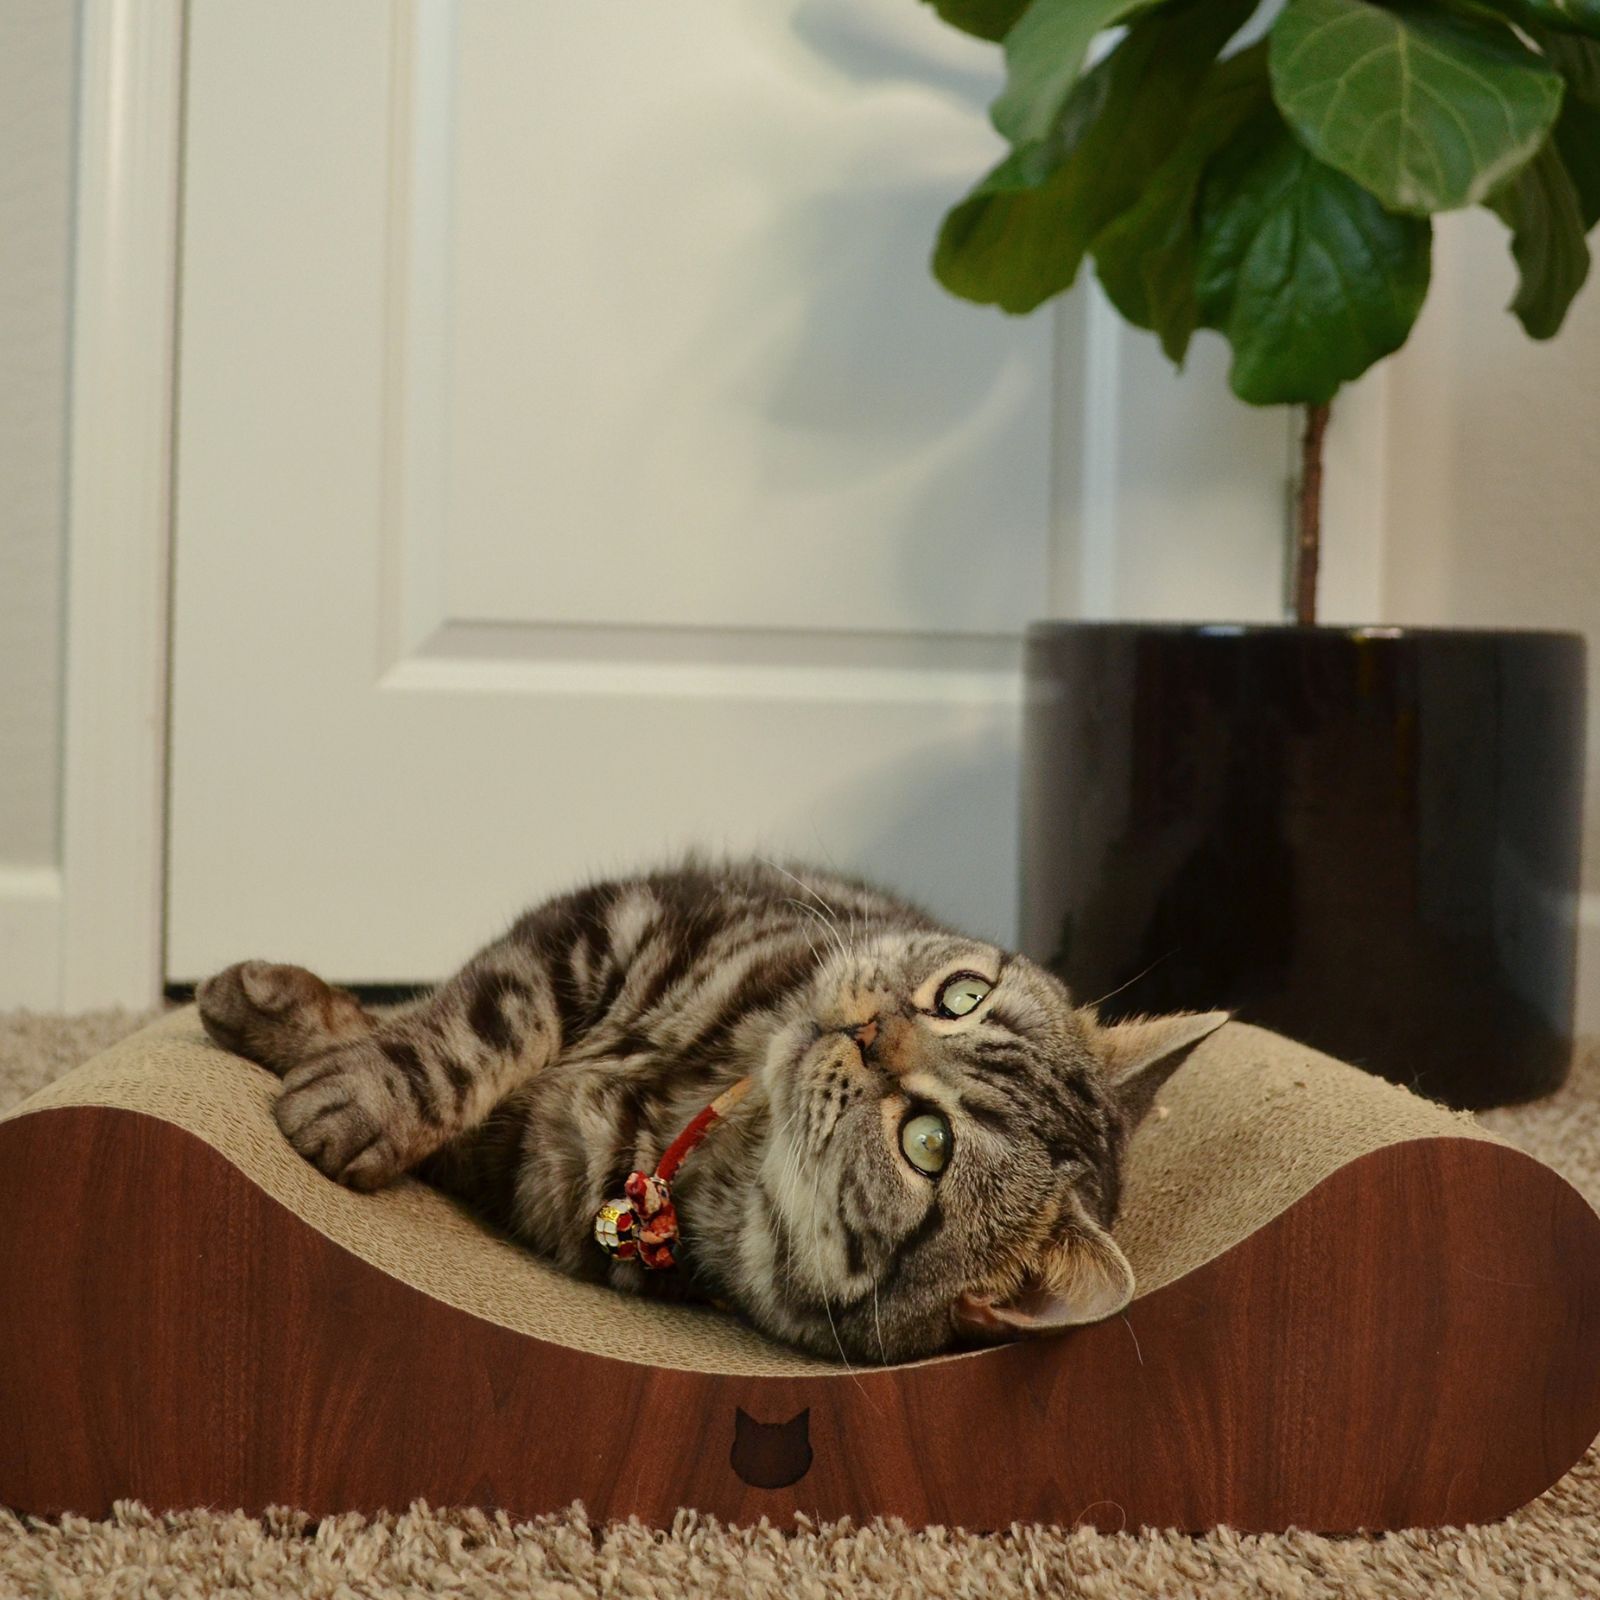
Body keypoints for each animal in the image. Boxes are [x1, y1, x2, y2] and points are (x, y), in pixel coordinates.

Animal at [200, 864, 1222, 1363]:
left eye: (927, 1144)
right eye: (962, 996)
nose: (870, 1030)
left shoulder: (519, 1165)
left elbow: (456, 1045)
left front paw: (339, 1094)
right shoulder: (610, 923)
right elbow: (475, 1026)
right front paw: (311, 1041)